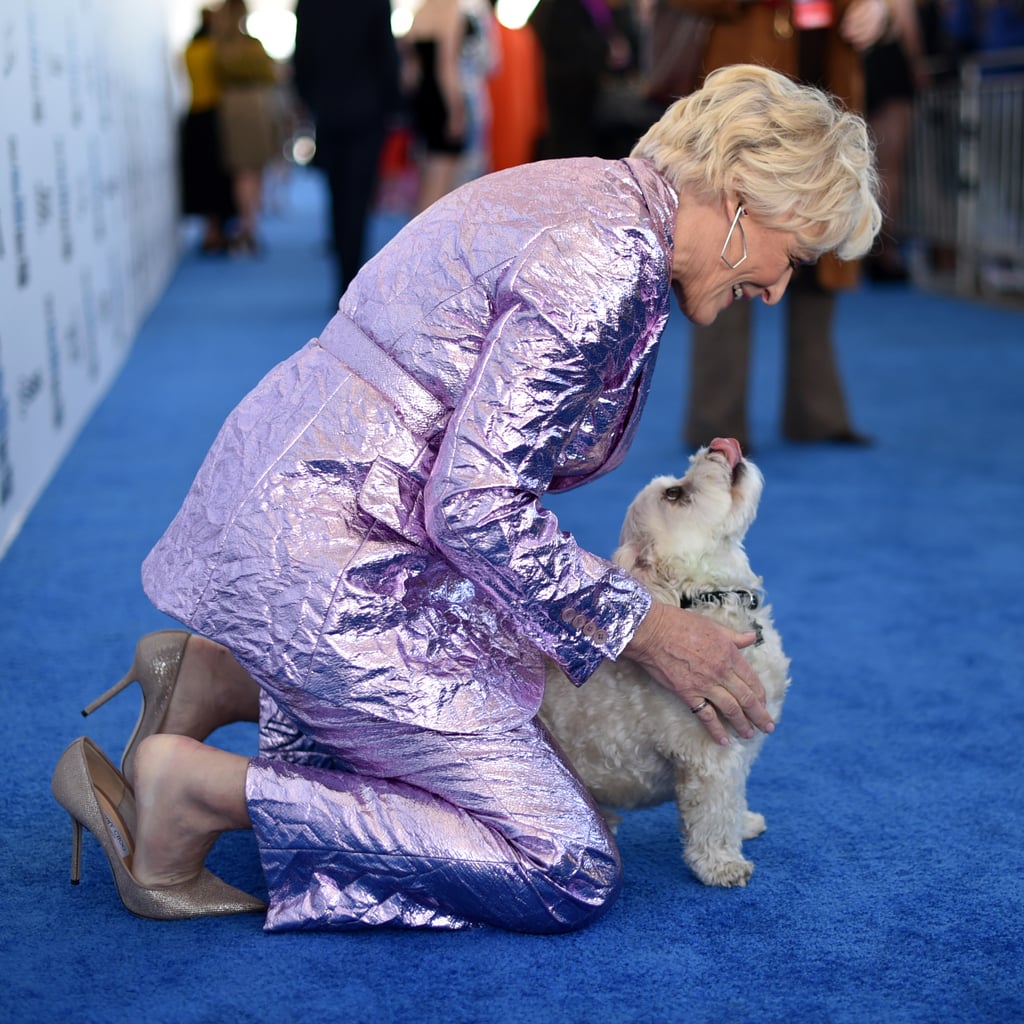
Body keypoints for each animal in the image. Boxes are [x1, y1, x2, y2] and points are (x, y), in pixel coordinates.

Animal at [544, 440, 790, 888]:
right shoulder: (709, 753)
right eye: (675, 495)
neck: (711, 598)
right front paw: (721, 865)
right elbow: (713, 814)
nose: (721, 445)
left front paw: (744, 823)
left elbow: (734, 798)